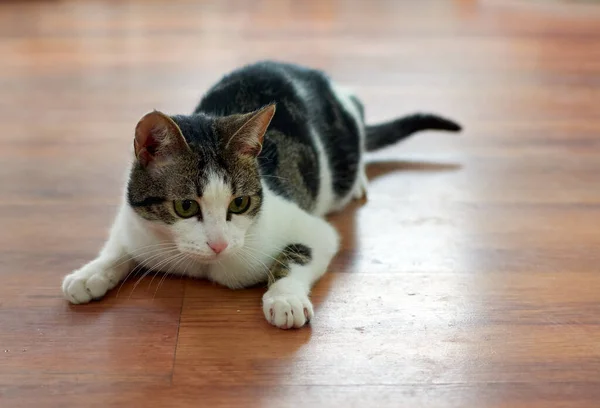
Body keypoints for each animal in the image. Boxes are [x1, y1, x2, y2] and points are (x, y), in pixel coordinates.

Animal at [62, 59, 460, 328]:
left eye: (240, 203)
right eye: (185, 206)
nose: (219, 245)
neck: (203, 266)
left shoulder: (313, 229)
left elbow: (299, 253)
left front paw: (285, 298)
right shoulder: (132, 221)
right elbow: (118, 246)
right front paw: (90, 273)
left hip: (345, 143)